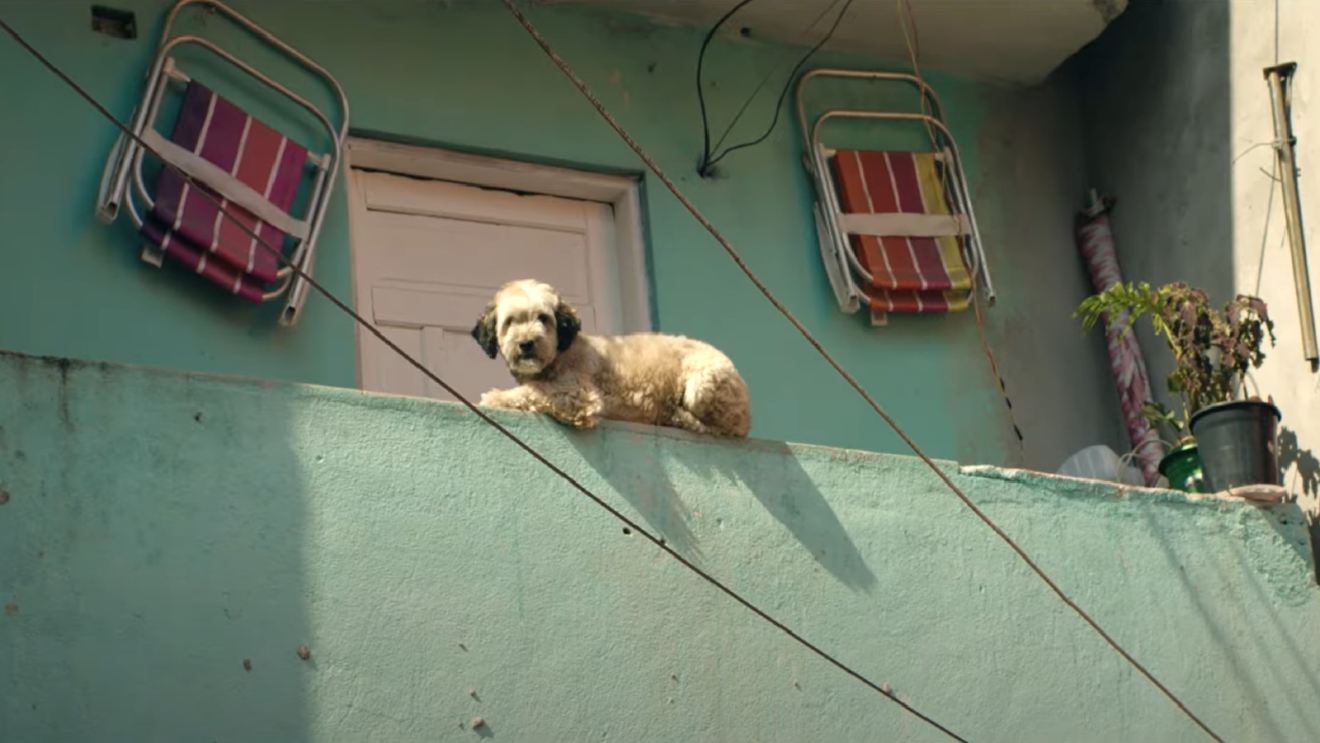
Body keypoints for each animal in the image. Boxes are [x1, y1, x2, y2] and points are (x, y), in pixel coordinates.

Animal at [469, 282, 749, 438]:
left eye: (542, 318)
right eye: (510, 322)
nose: (526, 343)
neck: (561, 352)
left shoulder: (577, 395)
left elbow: (532, 392)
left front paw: (496, 397)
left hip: (701, 385)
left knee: (722, 430)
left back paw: (681, 418)